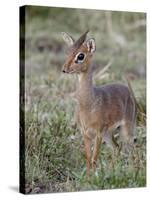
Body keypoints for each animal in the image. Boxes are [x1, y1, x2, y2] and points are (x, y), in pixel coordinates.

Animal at [60, 30, 136, 176]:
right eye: (68, 51)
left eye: (81, 55)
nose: (64, 69)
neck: (88, 104)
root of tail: (127, 89)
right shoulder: (85, 134)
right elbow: (88, 157)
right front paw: (88, 178)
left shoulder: (98, 133)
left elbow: (94, 158)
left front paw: (94, 178)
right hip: (109, 134)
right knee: (117, 147)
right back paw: (111, 172)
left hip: (126, 129)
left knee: (132, 150)